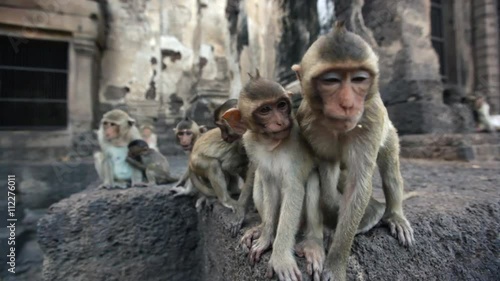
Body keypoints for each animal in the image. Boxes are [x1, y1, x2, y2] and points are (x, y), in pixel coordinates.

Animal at [292, 21, 414, 280]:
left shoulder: (371, 120)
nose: (348, 104)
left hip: (388, 132)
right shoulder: (308, 123)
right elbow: (326, 168)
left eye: (358, 79)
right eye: (331, 80)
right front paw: (332, 216)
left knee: (390, 171)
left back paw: (392, 214)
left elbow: (359, 184)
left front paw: (336, 262)